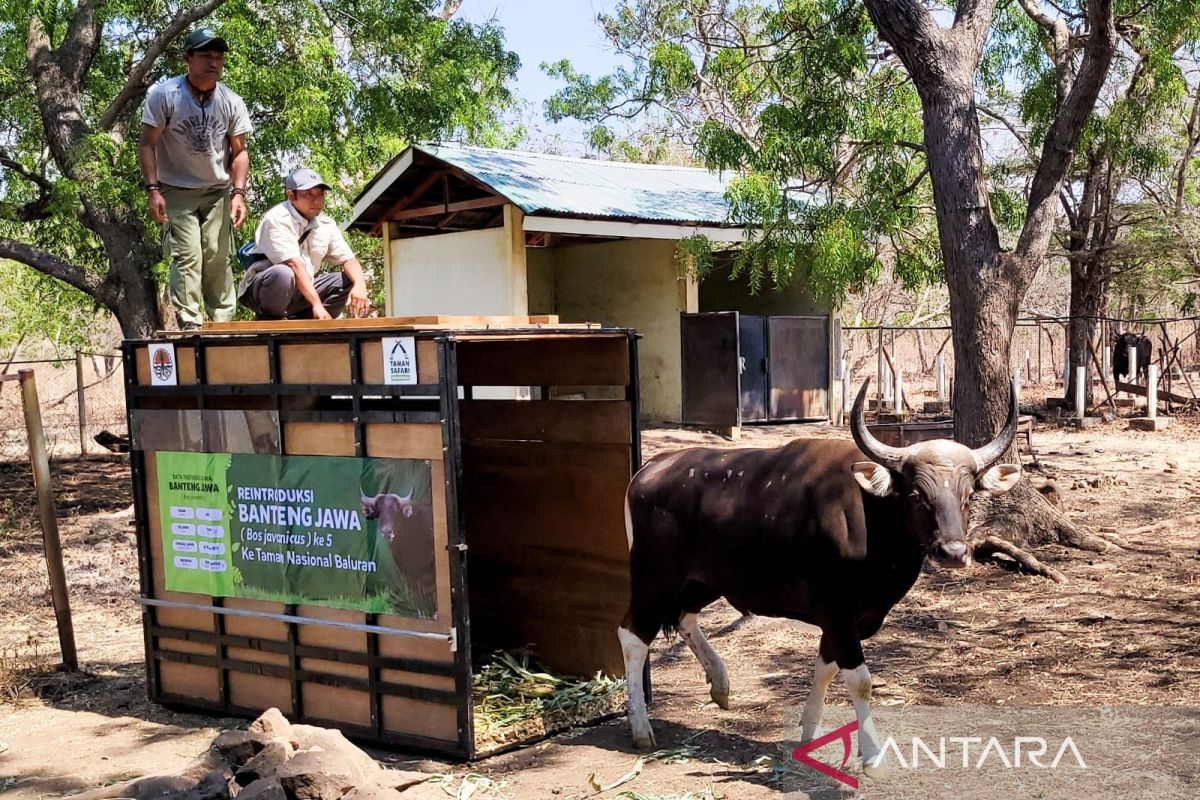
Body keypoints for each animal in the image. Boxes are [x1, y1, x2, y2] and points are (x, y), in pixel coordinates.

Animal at [619, 381, 1022, 777]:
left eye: (968, 495)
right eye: (917, 494)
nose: (952, 552)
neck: (873, 519)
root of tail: (648, 469)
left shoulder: (843, 621)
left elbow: (824, 670)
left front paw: (808, 733)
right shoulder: (839, 614)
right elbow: (860, 681)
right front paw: (872, 756)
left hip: (703, 580)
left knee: (684, 617)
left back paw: (720, 684)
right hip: (654, 578)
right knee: (633, 635)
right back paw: (641, 729)